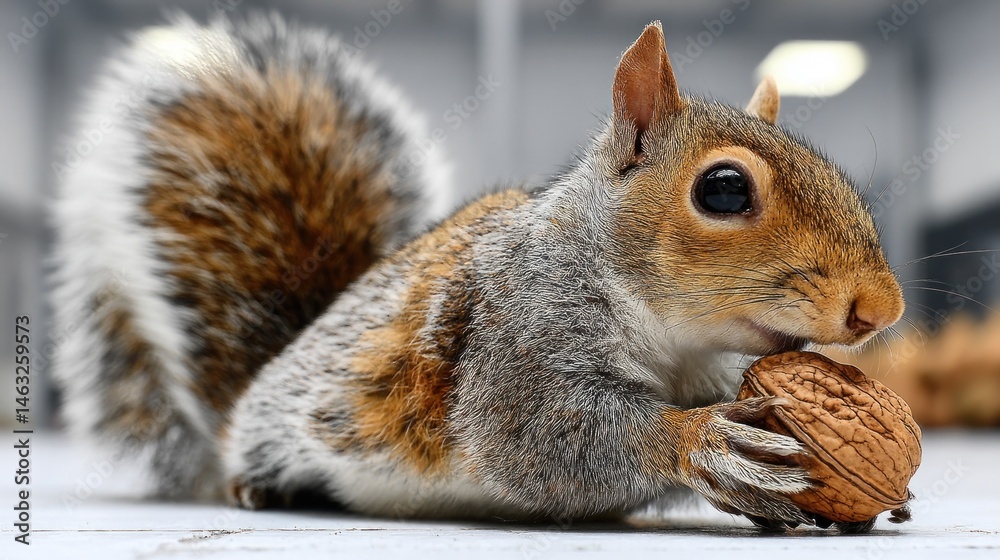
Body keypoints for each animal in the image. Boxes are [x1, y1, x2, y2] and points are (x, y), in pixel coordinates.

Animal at [52, 14, 904, 528]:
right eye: (724, 190)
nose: (882, 309)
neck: (675, 338)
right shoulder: (512, 335)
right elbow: (537, 438)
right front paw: (704, 440)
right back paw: (260, 484)